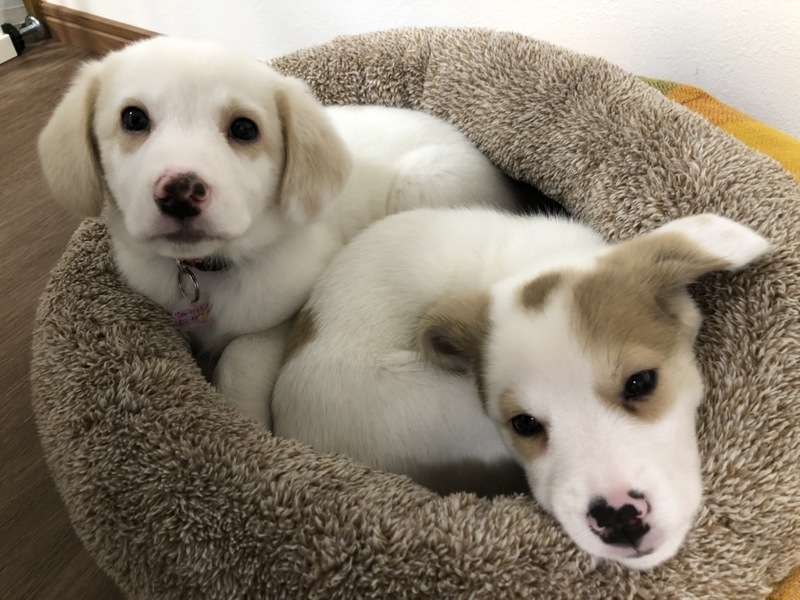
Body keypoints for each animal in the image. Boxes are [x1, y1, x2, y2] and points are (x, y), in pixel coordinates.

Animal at [38, 36, 520, 422]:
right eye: (133, 119)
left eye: (244, 128)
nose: (179, 192)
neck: (213, 272)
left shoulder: (283, 318)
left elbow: (240, 359)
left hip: (423, 186)